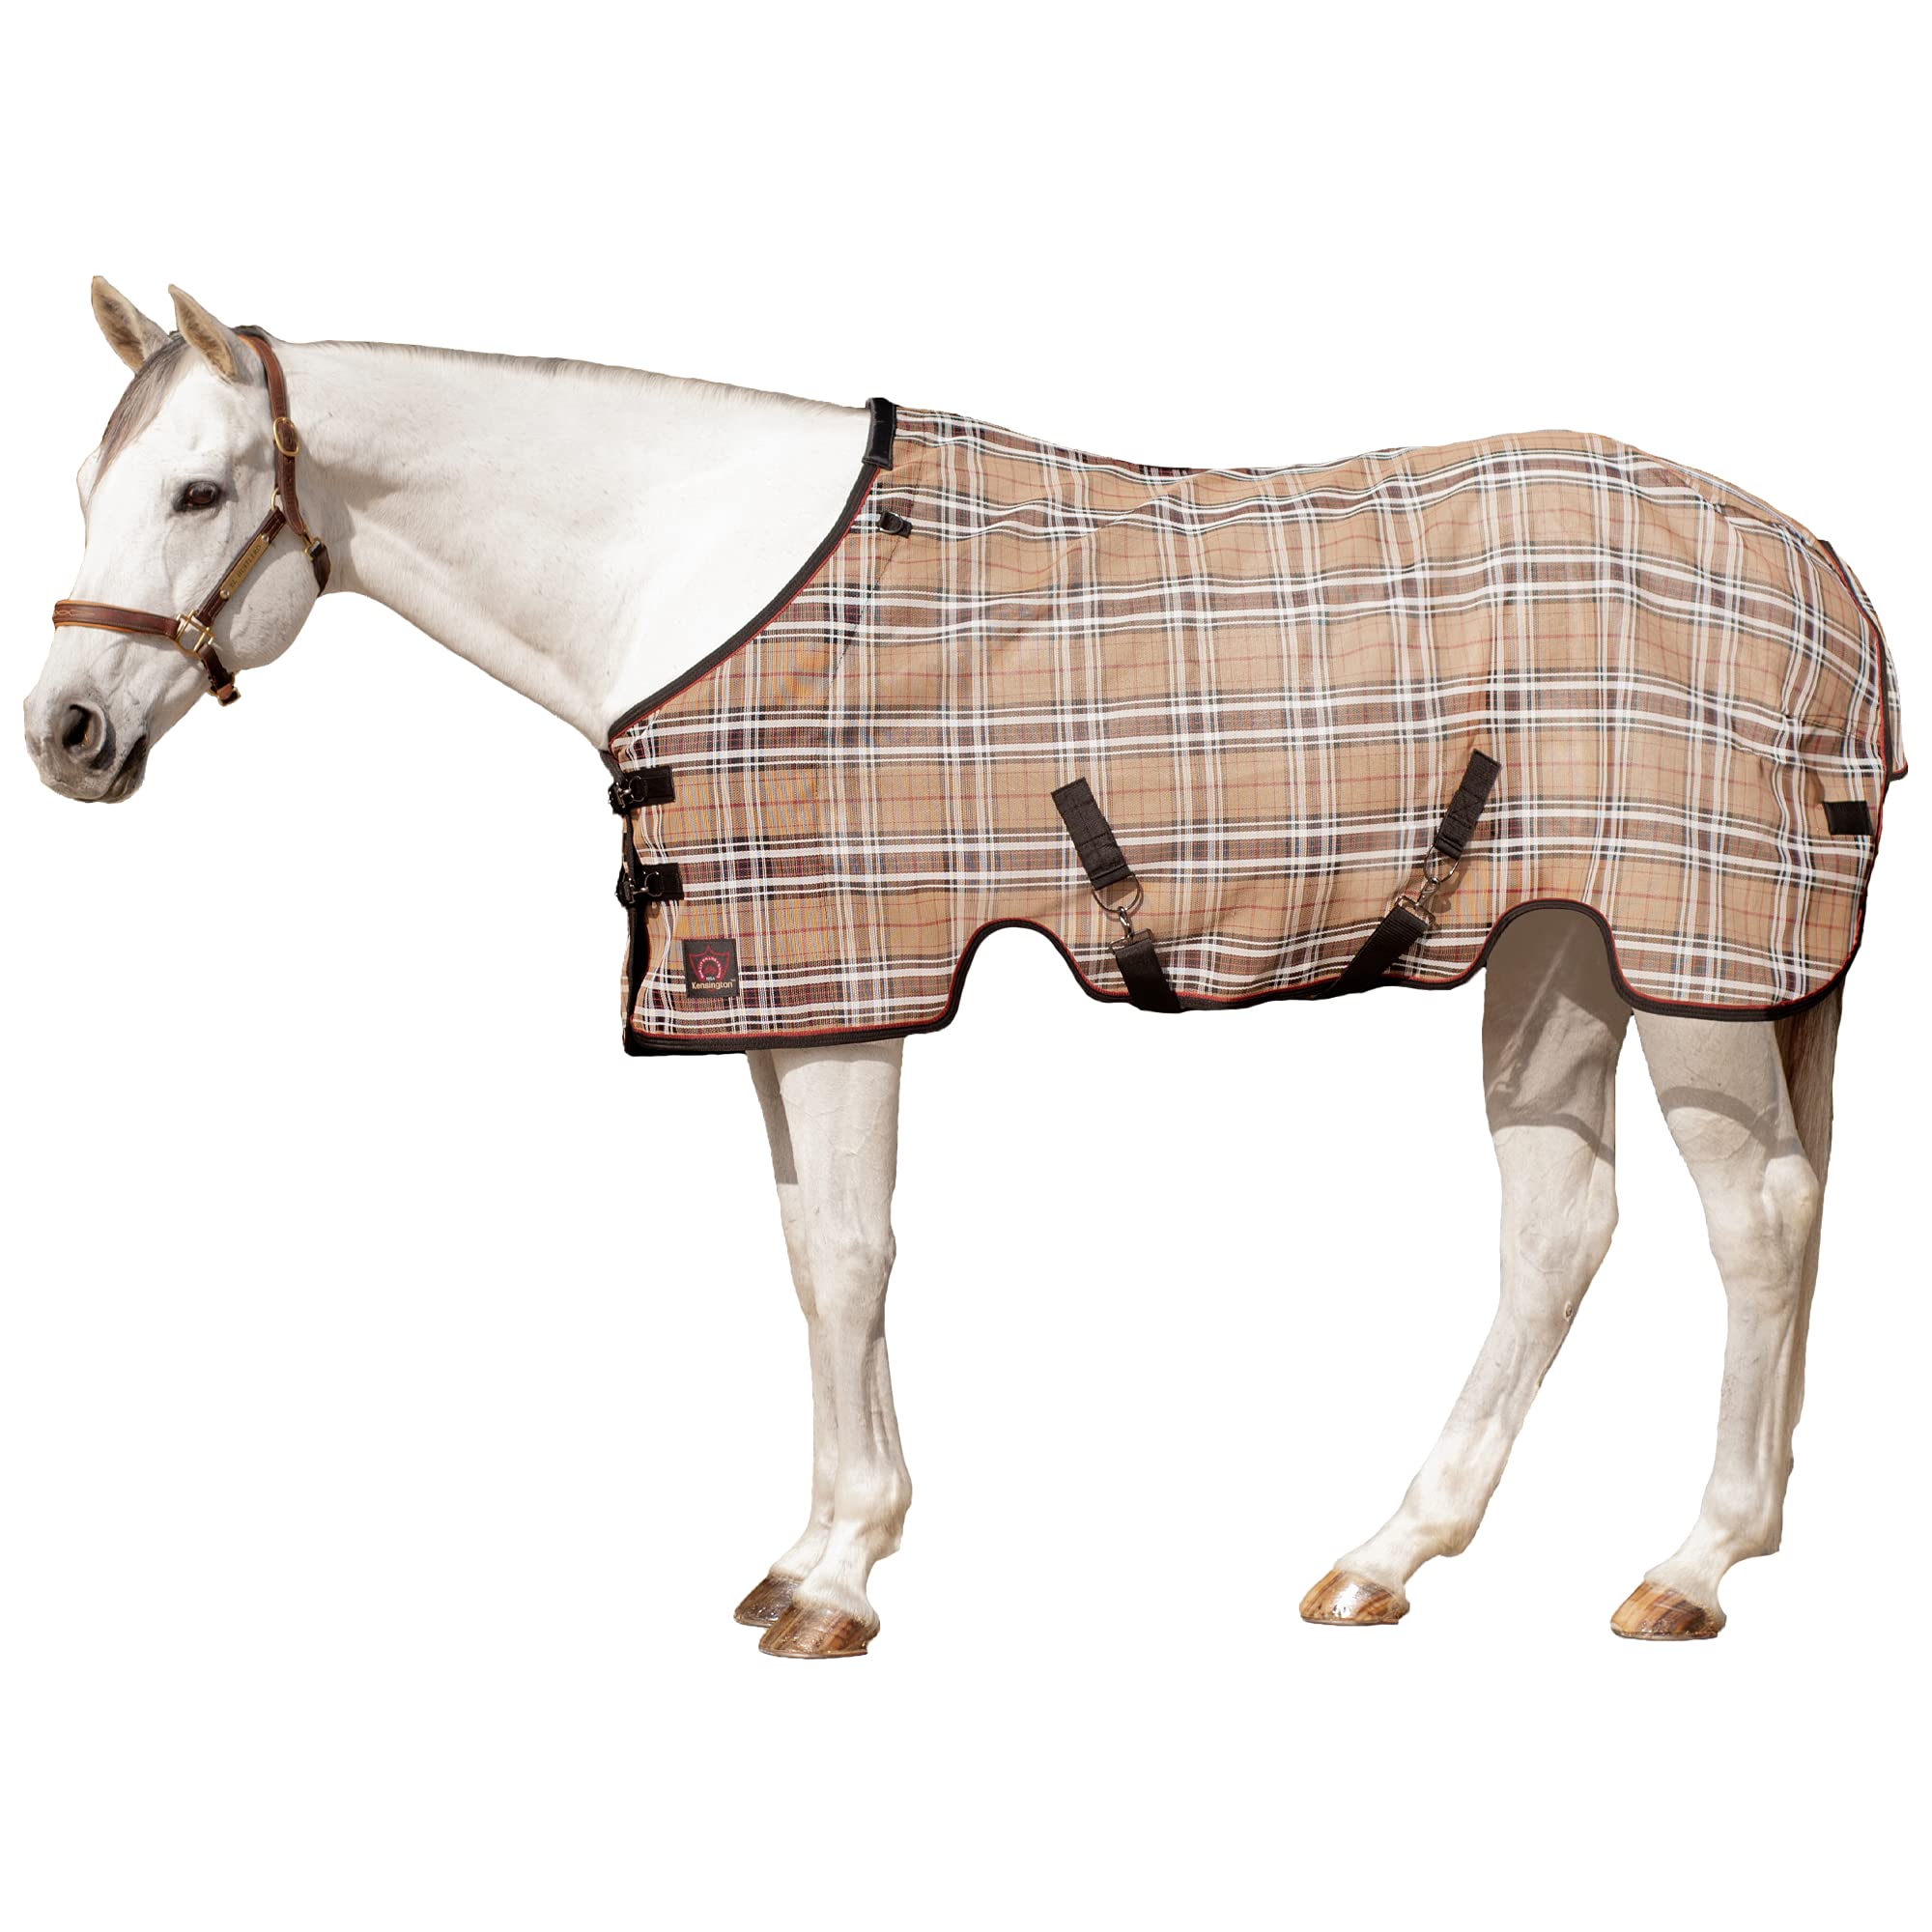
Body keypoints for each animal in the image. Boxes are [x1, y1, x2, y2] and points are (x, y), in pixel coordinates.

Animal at [25, 279, 1898, 1659]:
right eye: (95, 488)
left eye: (199, 490)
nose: (65, 733)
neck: (704, 575)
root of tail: (1826, 574)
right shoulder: (772, 988)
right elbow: (804, 1256)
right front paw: (809, 1550)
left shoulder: (850, 981)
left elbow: (850, 1258)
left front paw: (837, 1583)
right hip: (1559, 951)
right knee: (1560, 1227)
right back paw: (1392, 1554)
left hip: (1693, 964)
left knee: (1758, 1223)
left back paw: (1695, 1566)